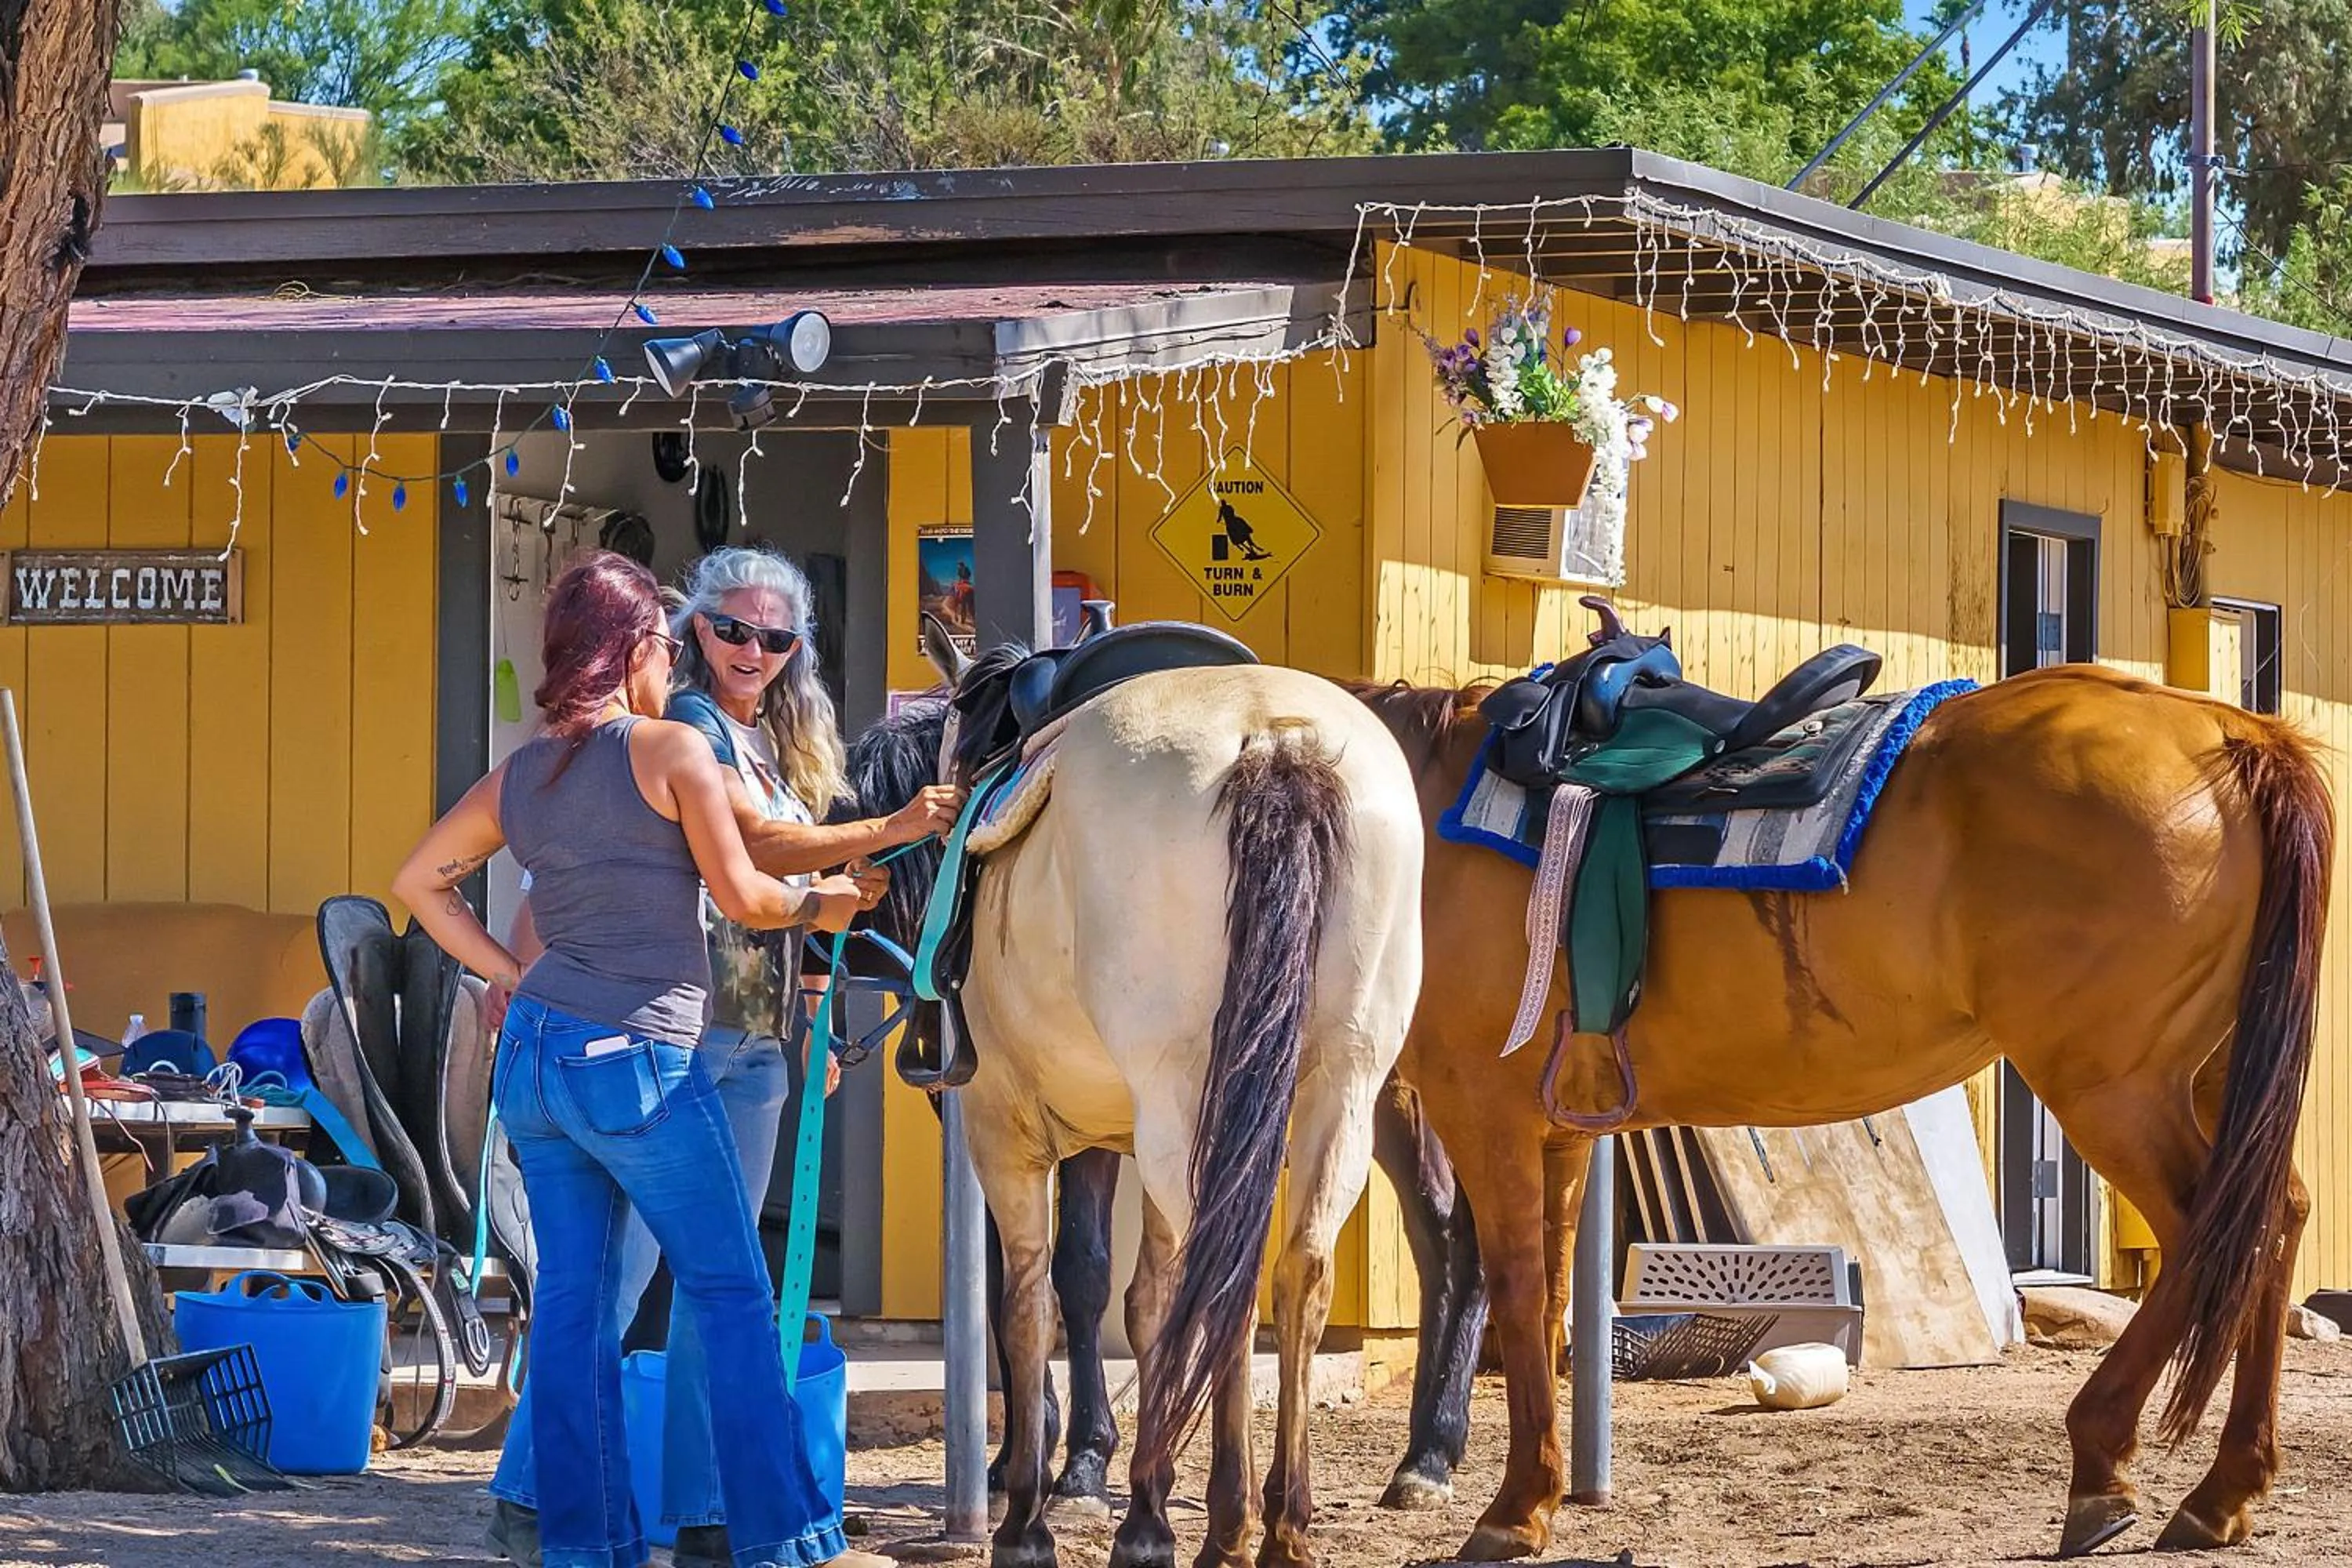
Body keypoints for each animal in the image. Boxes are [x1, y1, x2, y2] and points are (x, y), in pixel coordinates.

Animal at [842, 696, 1491, 1517]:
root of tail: (1277, 746)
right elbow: (1143, 1295)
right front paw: (1126, 1458)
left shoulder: (1040, 1122)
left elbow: (1064, 1279)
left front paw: (1069, 1462)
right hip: (1355, 1088)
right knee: (1363, 1253)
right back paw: (1385, 1469)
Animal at [1347, 656, 2331, 1561]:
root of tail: (2237, 736)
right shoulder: (1559, 1130)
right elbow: (1550, 1296)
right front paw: (1531, 1490)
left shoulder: (1487, 1111)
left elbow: (1515, 1292)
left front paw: (1513, 1509)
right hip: (2210, 1075)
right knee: (2276, 1216)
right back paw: (2223, 1490)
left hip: (2111, 1086)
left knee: (2212, 1229)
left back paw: (2105, 1463)